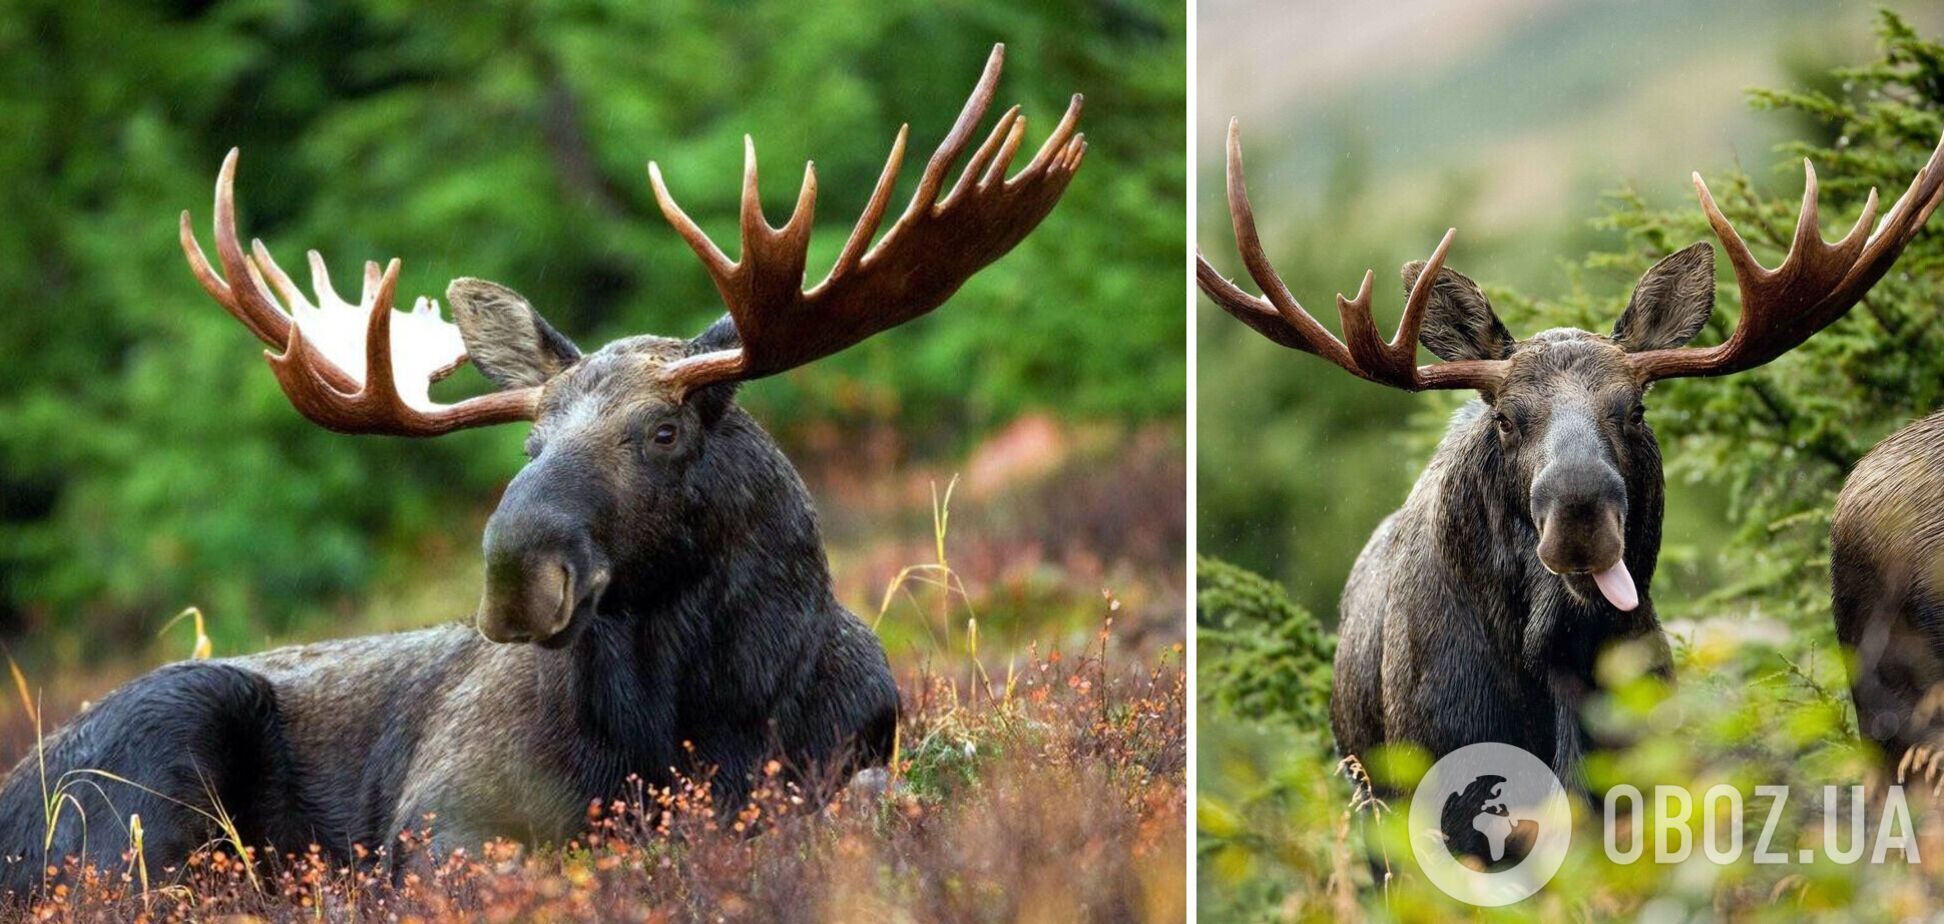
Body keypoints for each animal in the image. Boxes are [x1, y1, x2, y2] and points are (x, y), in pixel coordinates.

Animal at [0, 45, 1096, 898]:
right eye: (530, 447)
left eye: (663, 432)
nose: (515, 574)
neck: (702, 715)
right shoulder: (441, 814)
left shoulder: (852, 753)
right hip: (151, 761)